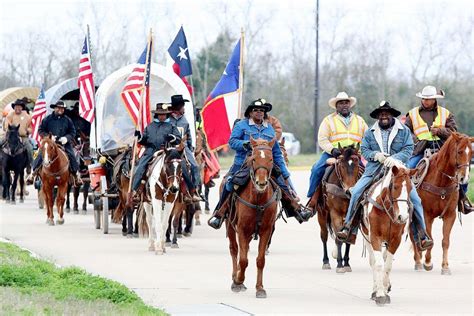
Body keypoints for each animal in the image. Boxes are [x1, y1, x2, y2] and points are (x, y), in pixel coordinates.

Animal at [225, 136, 278, 298]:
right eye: (253, 159)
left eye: (271, 159)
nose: (261, 182)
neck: (258, 199)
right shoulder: (242, 229)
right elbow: (243, 260)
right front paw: (238, 280)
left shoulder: (266, 230)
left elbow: (260, 260)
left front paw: (260, 288)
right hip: (230, 226)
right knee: (234, 249)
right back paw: (235, 277)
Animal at [312, 144, 362, 272]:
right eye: (342, 166)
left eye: (357, 164)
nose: (350, 191)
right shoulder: (335, 213)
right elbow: (339, 238)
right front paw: (340, 264)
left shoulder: (355, 215)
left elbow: (347, 238)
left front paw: (346, 263)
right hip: (322, 213)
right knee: (324, 236)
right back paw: (326, 261)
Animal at [362, 165, 416, 306]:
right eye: (395, 187)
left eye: (410, 188)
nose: (402, 216)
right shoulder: (374, 237)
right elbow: (379, 264)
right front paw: (380, 294)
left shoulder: (395, 239)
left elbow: (388, 265)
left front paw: (385, 289)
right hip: (367, 238)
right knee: (373, 261)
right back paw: (375, 289)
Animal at [410, 131, 472, 274]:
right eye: (460, 151)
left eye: (471, 152)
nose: (464, 178)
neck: (441, 181)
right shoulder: (426, 215)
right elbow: (430, 238)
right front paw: (427, 262)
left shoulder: (450, 215)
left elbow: (445, 241)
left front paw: (445, 266)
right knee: (413, 236)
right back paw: (418, 262)